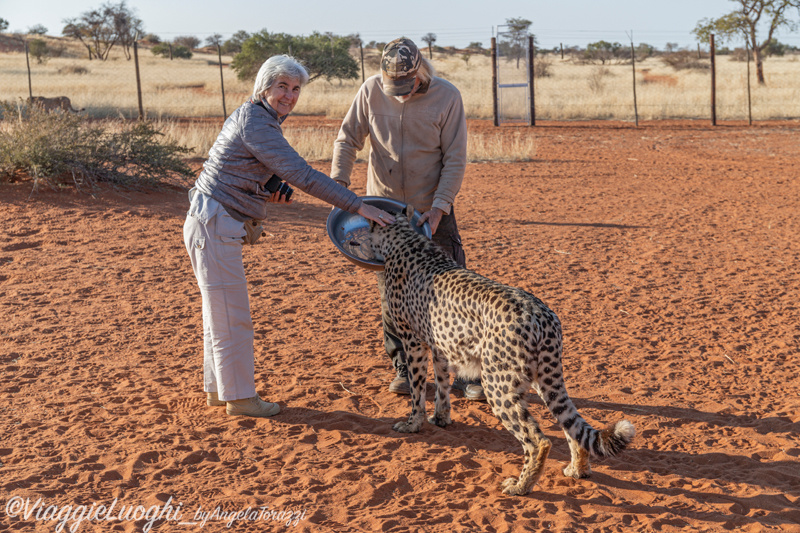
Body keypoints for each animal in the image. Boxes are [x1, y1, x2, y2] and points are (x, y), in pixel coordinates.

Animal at [368, 206, 636, 496]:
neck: (405, 239)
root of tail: (541, 315)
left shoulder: (414, 341)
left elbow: (417, 390)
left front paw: (412, 424)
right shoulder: (440, 346)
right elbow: (442, 385)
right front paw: (440, 418)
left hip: (498, 382)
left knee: (537, 440)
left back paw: (521, 486)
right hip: (543, 376)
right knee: (571, 423)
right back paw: (577, 470)